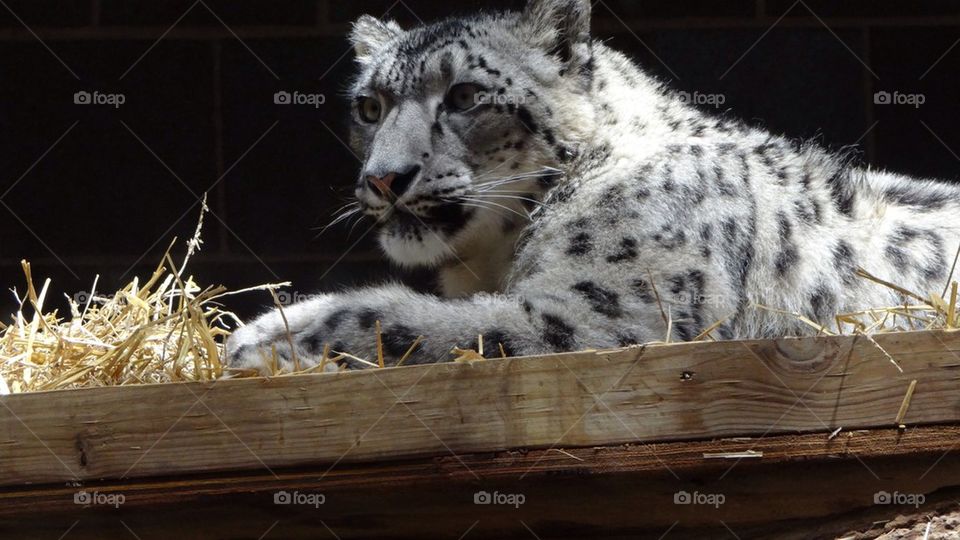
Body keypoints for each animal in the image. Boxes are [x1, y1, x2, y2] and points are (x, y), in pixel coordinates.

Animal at [225, 0, 960, 373]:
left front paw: (266, 343)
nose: (384, 177)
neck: (493, 256)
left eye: (464, 95)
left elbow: (424, 324)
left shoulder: (610, 315)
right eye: (370, 106)